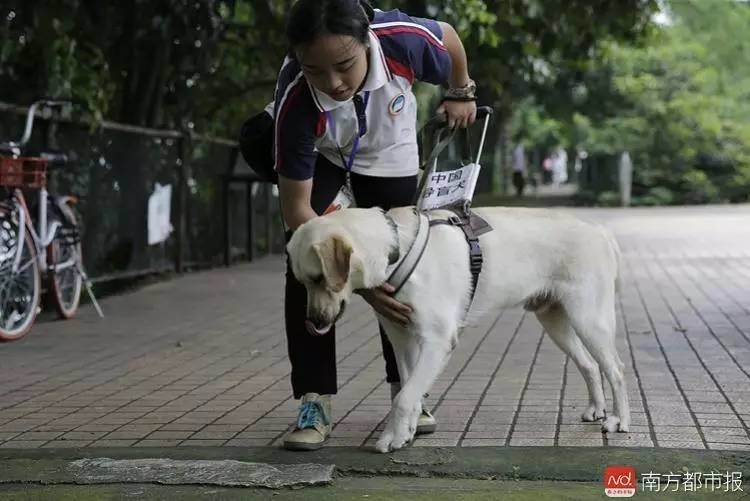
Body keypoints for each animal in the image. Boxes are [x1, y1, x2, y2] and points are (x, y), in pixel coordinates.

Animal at [288, 205, 628, 452]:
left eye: (319, 278)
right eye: (303, 283)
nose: (312, 323)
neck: (396, 251)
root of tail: (600, 231)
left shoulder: (437, 340)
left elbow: (403, 397)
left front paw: (391, 438)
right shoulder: (402, 339)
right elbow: (409, 388)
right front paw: (407, 432)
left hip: (589, 319)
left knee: (616, 370)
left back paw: (618, 421)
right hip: (555, 321)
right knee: (589, 365)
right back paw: (596, 409)